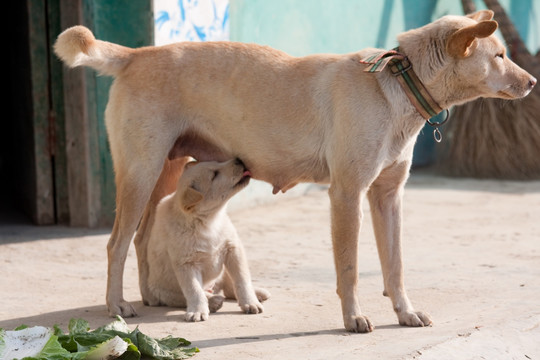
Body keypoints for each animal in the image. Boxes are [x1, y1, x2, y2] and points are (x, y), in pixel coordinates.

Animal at [144, 159, 268, 322]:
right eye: (214, 175)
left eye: (217, 162)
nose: (238, 160)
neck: (208, 221)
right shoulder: (186, 263)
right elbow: (194, 290)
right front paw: (197, 312)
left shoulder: (233, 249)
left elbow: (242, 279)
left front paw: (250, 302)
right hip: (163, 292)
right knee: (189, 296)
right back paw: (213, 301)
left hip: (223, 272)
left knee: (229, 287)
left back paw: (258, 293)